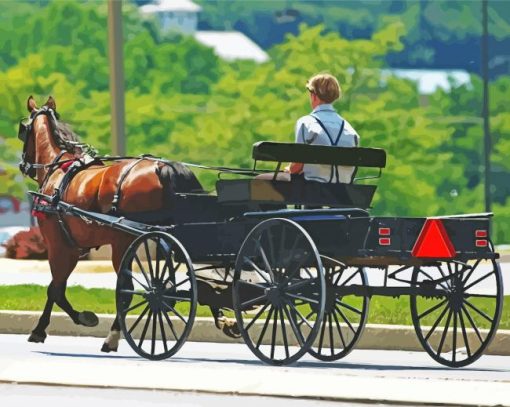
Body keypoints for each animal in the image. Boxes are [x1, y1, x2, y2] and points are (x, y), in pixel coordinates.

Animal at [19, 96, 203, 354]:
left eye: (22, 130)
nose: (22, 165)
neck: (59, 170)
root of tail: (163, 167)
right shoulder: (73, 246)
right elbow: (57, 287)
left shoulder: (60, 245)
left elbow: (55, 288)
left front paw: (54, 325)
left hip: (124, 242)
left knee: (127, 289)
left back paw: (113, 337)